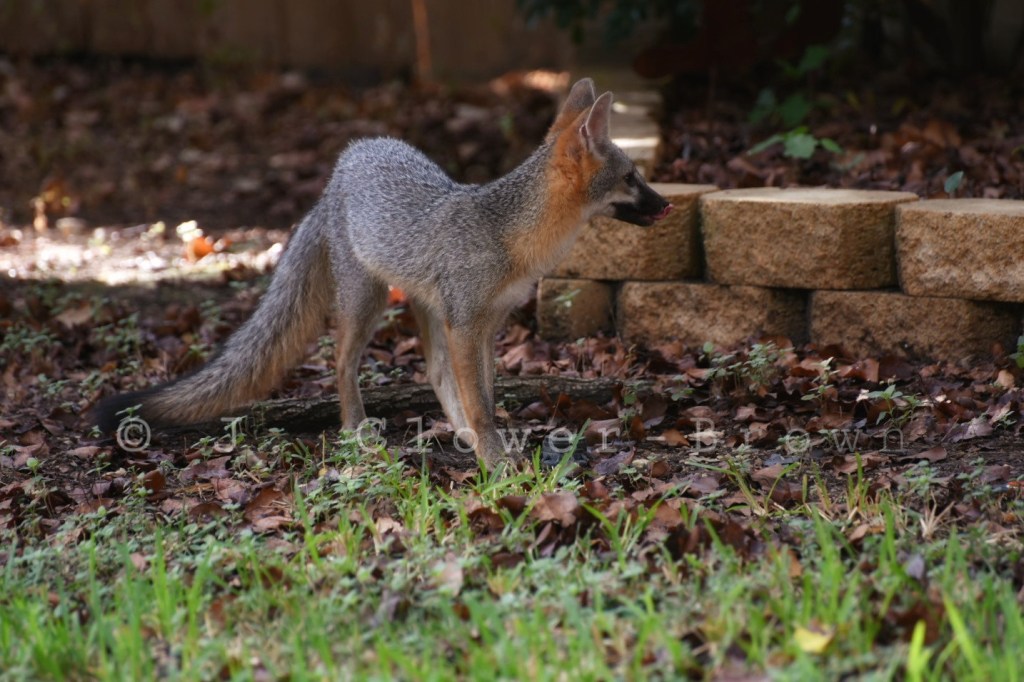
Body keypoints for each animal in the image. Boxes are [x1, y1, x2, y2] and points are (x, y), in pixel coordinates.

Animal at [95, 78, 672, 468]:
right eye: (632, 178)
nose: (667, 205)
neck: (512, 234)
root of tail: (342, 169)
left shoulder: (485, 324)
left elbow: (482, 396)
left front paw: (486, 446)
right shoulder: (467, 323)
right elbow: (481, 403)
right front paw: (496, 463)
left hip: (423, 307)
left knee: (433, 373)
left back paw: (453, 436)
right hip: (366, 304)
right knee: (340, 363)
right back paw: (356, 433)